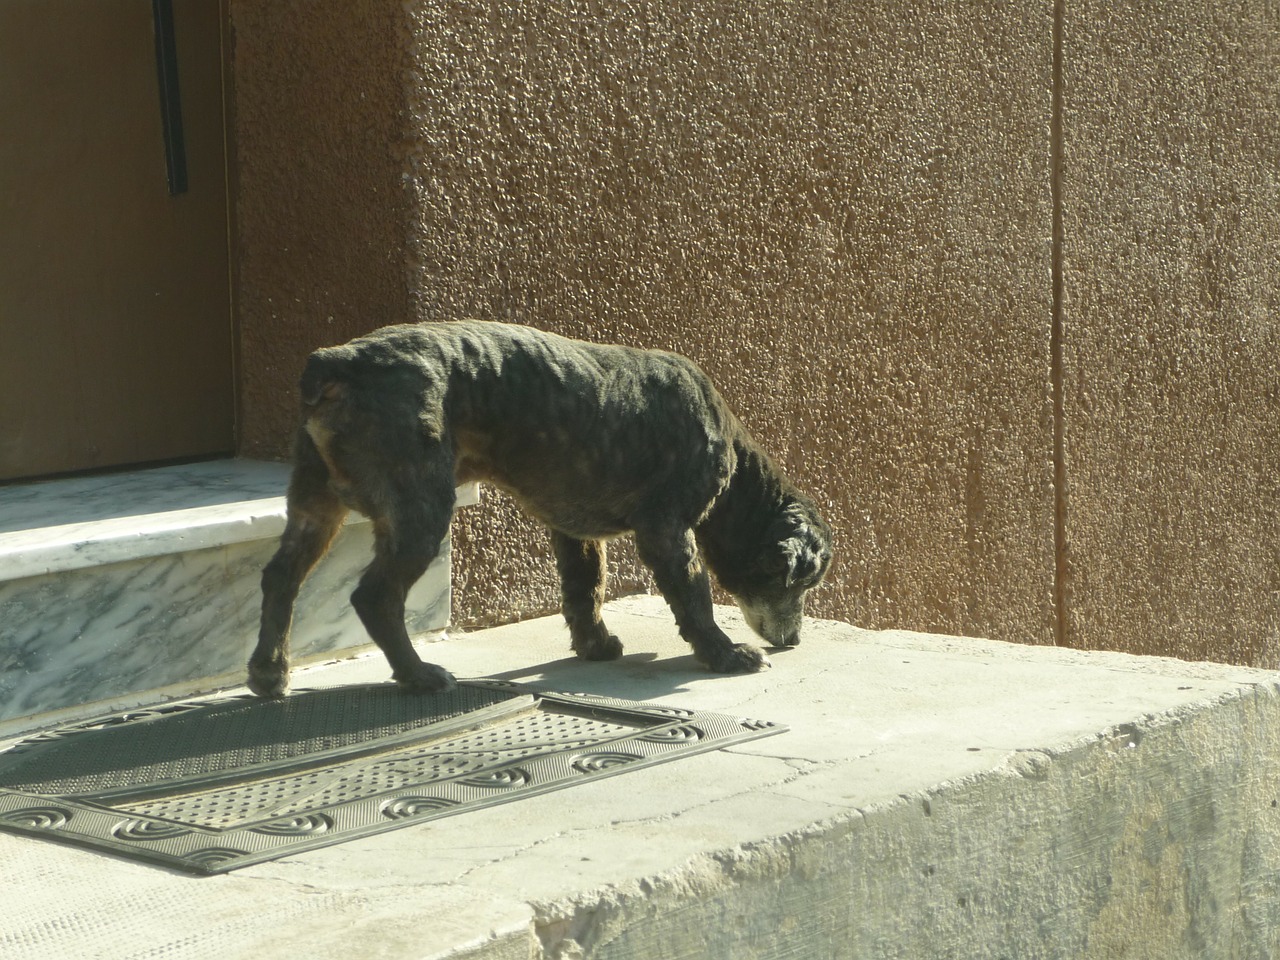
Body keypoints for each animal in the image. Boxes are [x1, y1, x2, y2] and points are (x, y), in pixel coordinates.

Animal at [248, 323, 829, 701]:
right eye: (803, 581)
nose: (797, 639)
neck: (736, 474)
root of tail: (336, 362)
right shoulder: (667, 529)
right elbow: (694, 598)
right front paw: (724, 655)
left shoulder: (575, 532)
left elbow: (585, 589)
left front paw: (594, 645)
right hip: (419, 508)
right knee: (375, 597)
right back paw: (419, 675)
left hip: (315, 504)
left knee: (280, 578)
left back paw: (269, 673)